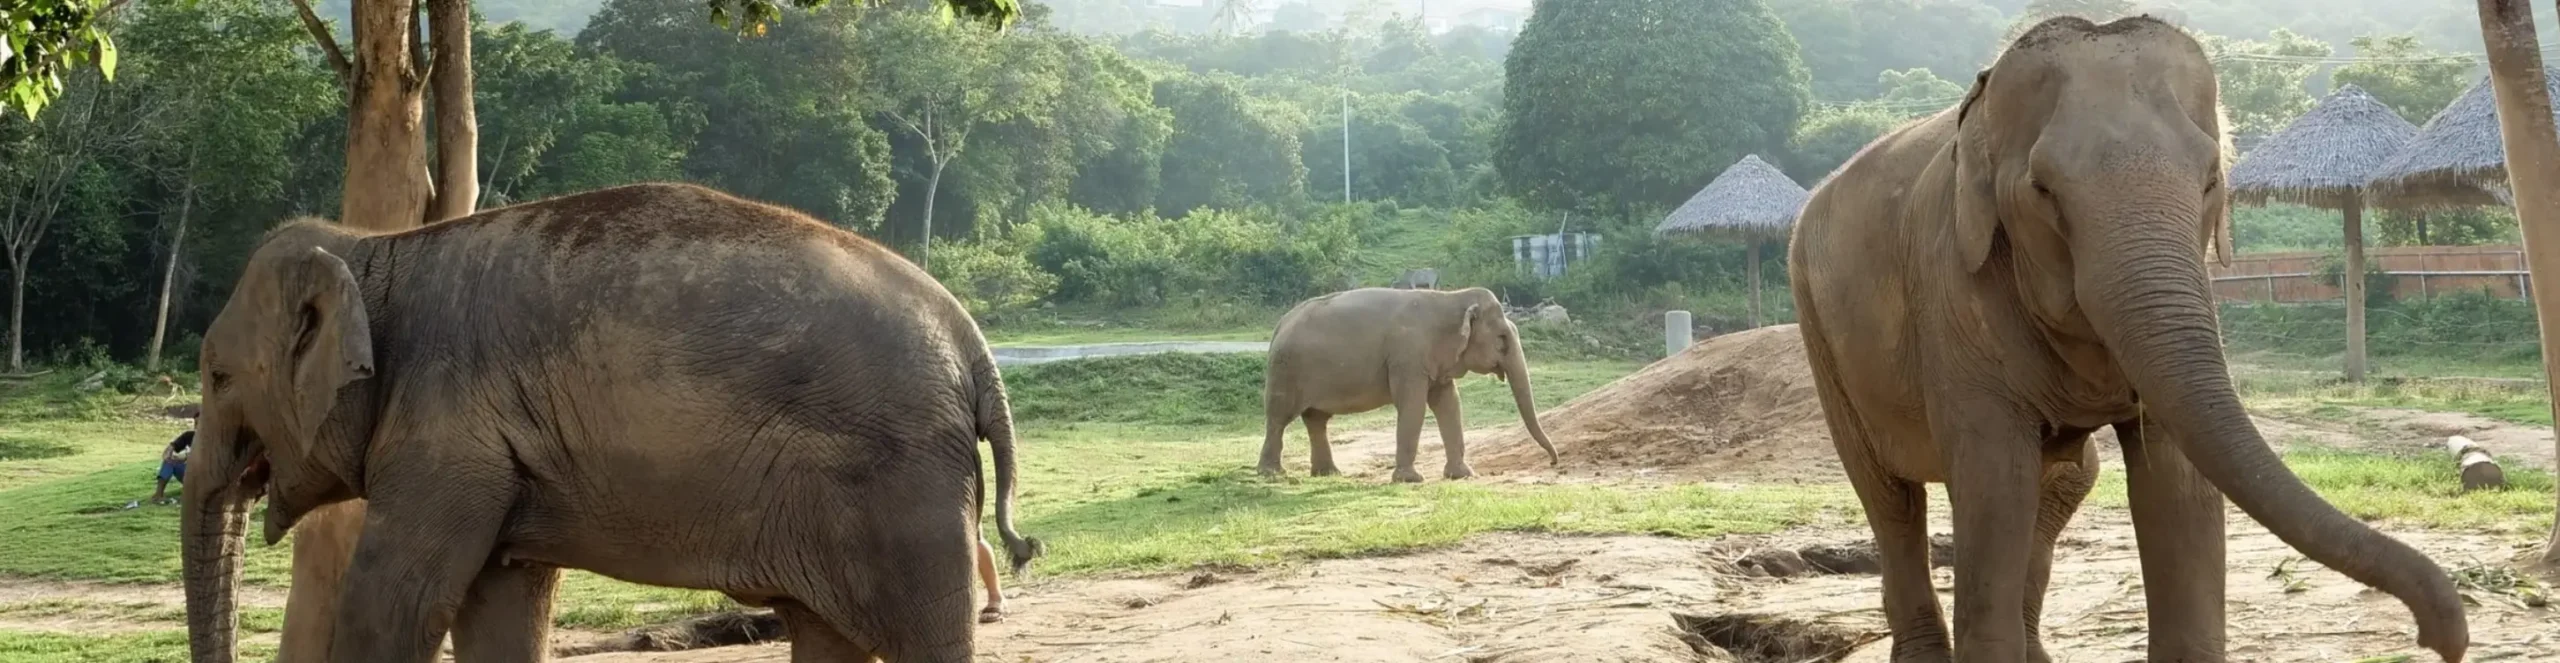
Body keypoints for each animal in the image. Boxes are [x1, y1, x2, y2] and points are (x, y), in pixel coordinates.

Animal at [179, 182, 1041, 663]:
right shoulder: (493, 449)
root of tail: (974, 347)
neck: (375, 251)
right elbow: (500, 607)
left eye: (217, 376)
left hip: (902, 485)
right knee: (828, 633)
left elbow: (396, 603)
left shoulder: (446, 432)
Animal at [1258, 287, 1557, 483]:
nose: (1553, 461)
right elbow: (1413, 405)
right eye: (1502, 338)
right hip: (1286, 370)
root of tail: (1280, 325)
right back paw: (1273, 474)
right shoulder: (1407, 358)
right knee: (1279, 417)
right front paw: (1410, 479)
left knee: (1316, 419)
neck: (1450, 297)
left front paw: (1462, 475)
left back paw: (1328, 474)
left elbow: (1449, 404)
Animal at [1788, 16, 2466, 663]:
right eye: (2042, 191)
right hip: (1818, 330)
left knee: (2066, 477)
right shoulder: (1953, 292)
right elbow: (1992, 480)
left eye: (2211, 180)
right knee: (1889, 496)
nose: (2443, 640)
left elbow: (2179, 480)